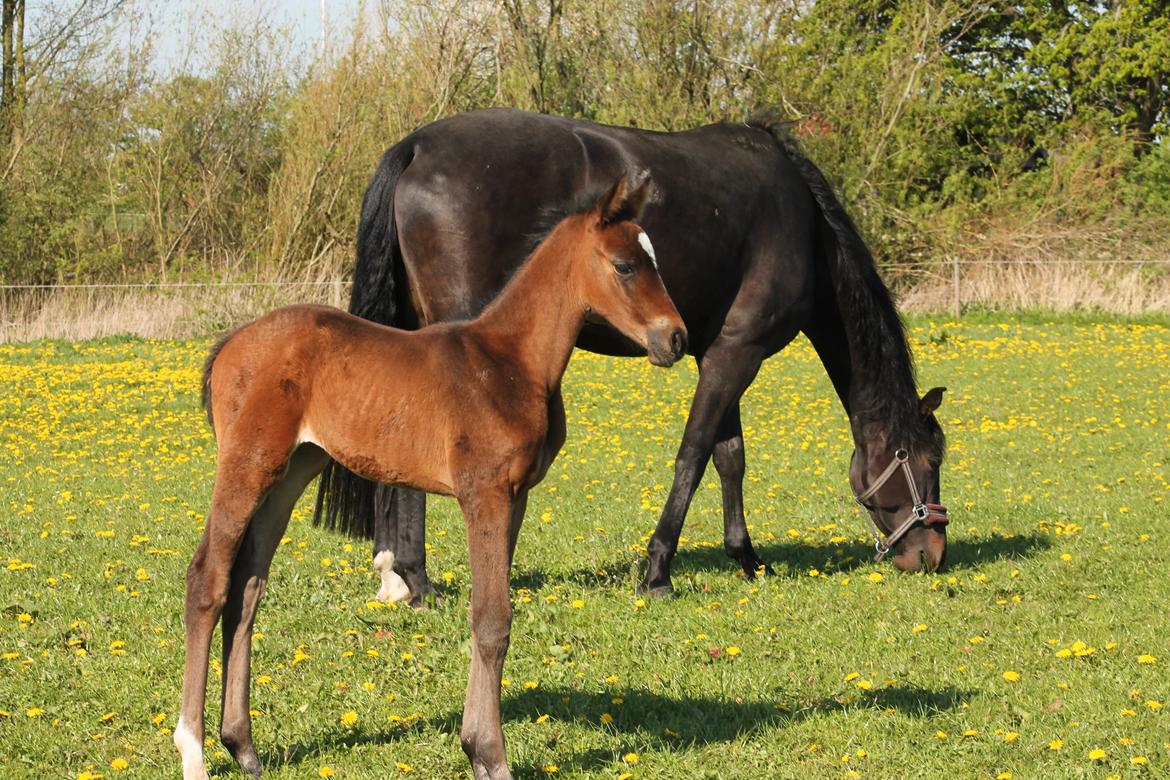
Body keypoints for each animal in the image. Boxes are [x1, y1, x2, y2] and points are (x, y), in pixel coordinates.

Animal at [174, 171, 683, 780]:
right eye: (625, 266)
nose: (676, 339)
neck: (509, 364)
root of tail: (234, 341)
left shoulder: (515, 499)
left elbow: (490, 618)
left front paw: (476, 749)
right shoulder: (483, 493)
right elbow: (493, 619)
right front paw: (492, 757)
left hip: (290, 473)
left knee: (248, 587)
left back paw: (243, 746)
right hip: (248, 465)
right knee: (207, 580)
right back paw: (194, 751)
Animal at [318, 107, 950, 603]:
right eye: (928, 461)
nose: (931, 554)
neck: (803, 222)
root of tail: (417, 147)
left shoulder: (720, 350)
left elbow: (730, 457)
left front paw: (746, 557)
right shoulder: (738, 353)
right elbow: (694, 455)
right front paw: (659, 568)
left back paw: (399, 575)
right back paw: (416, 581)